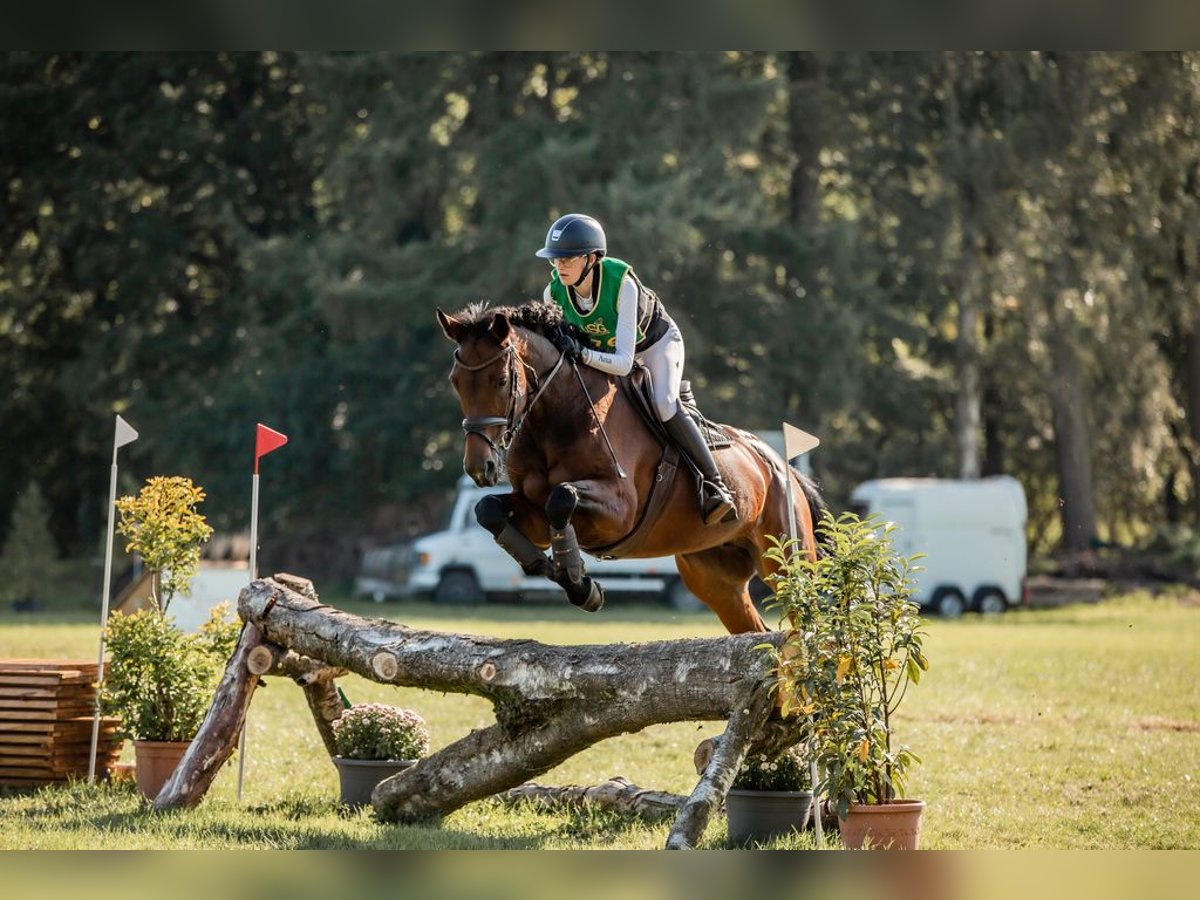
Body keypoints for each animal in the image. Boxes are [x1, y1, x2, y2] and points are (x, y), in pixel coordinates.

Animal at [439, 301, 825, 633]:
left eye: (502, 381)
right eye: (455, 381)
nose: (481, 466)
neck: (557, 416)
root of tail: (779, 465)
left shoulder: (619, 511)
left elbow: (562, 497)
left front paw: (578, 581)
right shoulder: (532, 510)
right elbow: (489, 509)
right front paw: (551, 569)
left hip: (787, 562)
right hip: (714, 577)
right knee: (755, 633)